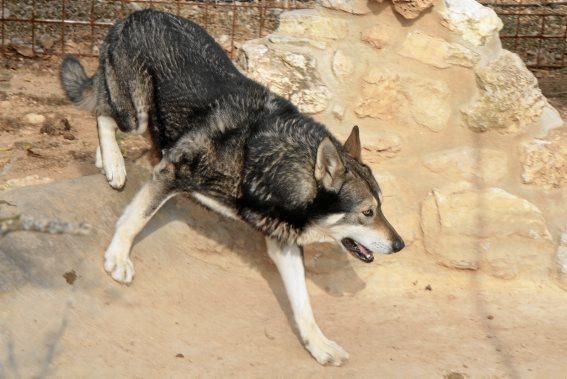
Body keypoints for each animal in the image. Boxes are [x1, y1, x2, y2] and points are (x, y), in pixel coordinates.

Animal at [60, 8, 406, 366]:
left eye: (381, 207)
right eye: (367, 212)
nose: (400, 245)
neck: (263, 158)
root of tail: (136, 14)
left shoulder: (283, 245)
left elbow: (303, 306)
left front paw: (319, 345)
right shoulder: (171, 171)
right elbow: (135, 219)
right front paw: (117, 258)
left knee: (104, 110)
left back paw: (105, 160)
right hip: (137, 114)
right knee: (103, 114)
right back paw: (114, 163)